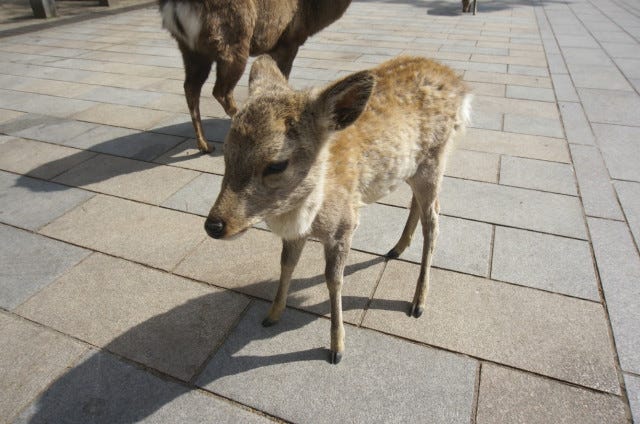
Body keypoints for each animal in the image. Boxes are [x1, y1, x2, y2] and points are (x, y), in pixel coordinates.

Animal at [159, 0, 350, 152]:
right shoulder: (288, 42)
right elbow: (282, 77)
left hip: (191, 50)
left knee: (191, 88)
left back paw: (204, 145)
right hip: (232, 44)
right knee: (220, 91)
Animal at [205, 54, 470, 362]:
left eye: (277, 164)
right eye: (226, 152)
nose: (214, 225)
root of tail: (459, 84)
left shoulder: (345, 225)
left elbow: (334, 280)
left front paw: (336, 348)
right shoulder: (297, 234)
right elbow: (286, 263)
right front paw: (272, 314)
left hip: (435, 160)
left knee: (434, 221)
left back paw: (418, 302)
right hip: (414, 169)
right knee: (417, 204)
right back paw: (396, 248)